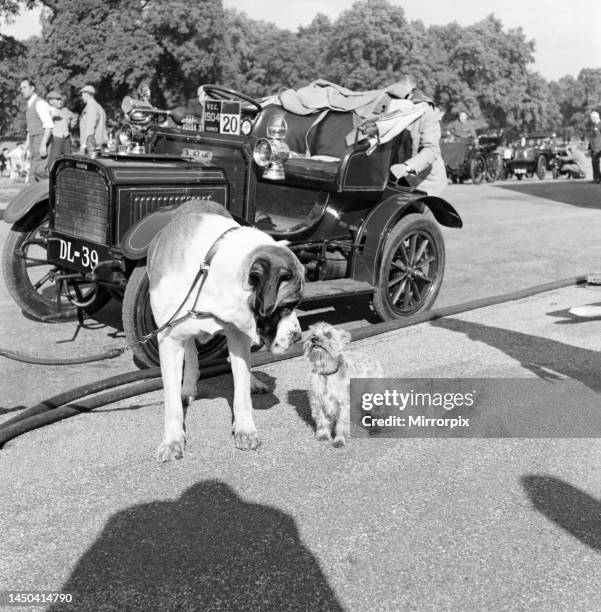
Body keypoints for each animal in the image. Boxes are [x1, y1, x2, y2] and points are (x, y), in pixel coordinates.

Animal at [146, 198, 304, 462]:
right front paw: (172, 440)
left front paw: (245, 429)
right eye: (287, 306)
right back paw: (187, 386)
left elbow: (241, 389)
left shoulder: (239, 335)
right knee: (191, 352)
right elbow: (172, 403)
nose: (298, 336)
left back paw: (253, 381)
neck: (208, 273)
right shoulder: (168, 339)